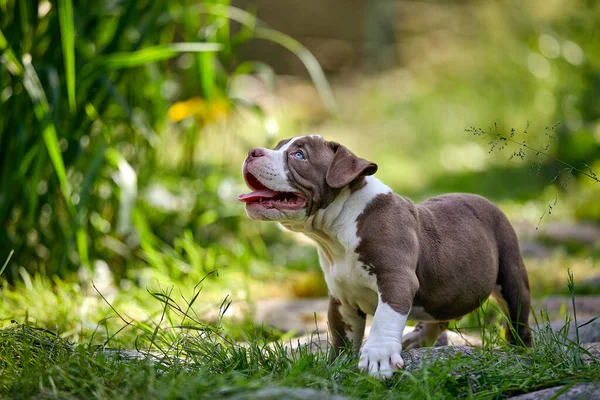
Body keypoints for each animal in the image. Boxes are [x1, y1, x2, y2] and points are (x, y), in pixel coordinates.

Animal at [237, 135, 532, 378]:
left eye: (299, 155)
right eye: (277, 146)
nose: (252, 152)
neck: (336, 232)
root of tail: (486, 200)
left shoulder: (396, 280)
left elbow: (383, 318)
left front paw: (378, 358)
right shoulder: (341, 299)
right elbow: (342, 337)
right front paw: (336, 365)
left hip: (511, 272)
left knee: (518, 319)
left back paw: (522, 353)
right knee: (442, 313)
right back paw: (419, 339)